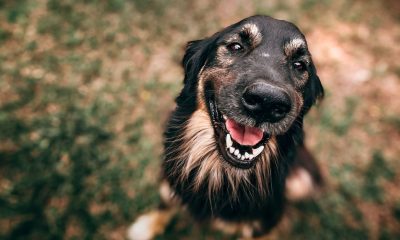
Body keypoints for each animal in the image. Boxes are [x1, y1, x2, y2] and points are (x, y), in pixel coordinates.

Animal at [129, 15, 324, 239]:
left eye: (299, 65)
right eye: (236, 46)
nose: (266, 102)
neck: (222, 172)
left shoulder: (265, 221)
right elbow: (165, 200)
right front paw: (150, 224)